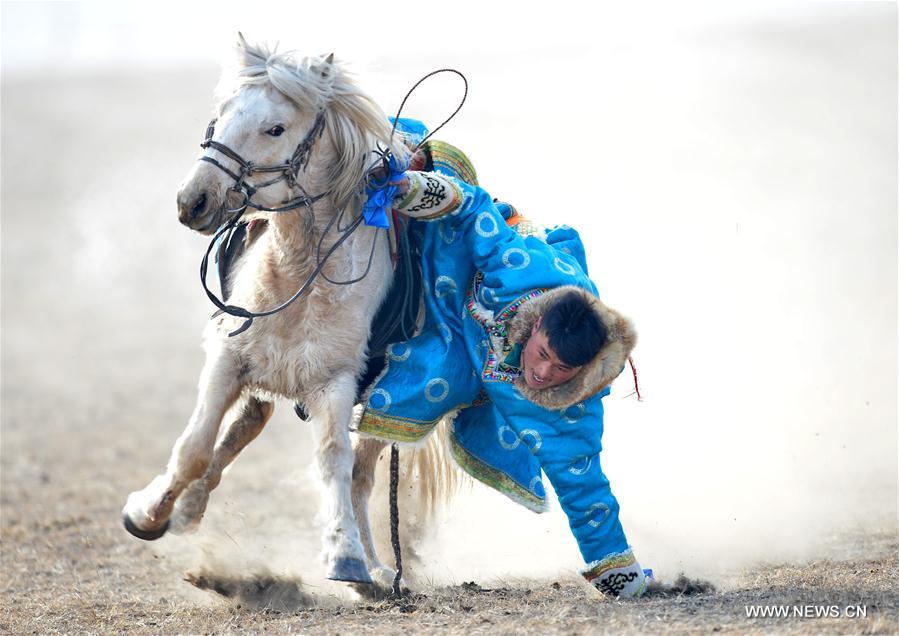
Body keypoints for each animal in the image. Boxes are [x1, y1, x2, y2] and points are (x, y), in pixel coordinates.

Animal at [123, 36, 432, 588]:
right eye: (221, 114)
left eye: (275, 128)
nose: (192, 200)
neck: (300, 273)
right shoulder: (228, 359)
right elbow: (195, 447)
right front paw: (149, 513)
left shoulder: (336, 381)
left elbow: (334, 461)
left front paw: (347, 557)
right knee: (242, 427)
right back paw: (186, 512)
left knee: (360, 473)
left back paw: (378, 566)